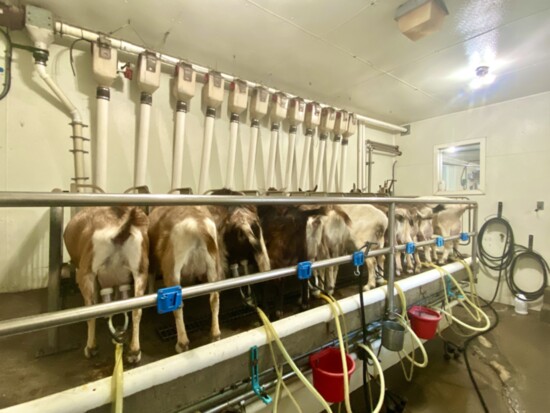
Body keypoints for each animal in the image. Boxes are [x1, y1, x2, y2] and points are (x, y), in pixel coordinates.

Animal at [64, 206, 149, 360]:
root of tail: (120, 231)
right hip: (140, 272)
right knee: (136, 310)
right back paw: (134, 351)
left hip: (86, 273)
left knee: (90, 310)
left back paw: (91, 347)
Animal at [149, 205, 224, 350]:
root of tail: (198, 225)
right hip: (213, 267)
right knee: (214, 298)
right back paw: (215, 334)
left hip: (172, 268)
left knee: (177, 304)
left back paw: (182, 343)